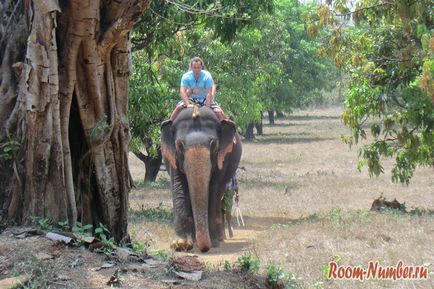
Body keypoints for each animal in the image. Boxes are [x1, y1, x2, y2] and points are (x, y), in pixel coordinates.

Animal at [160, 104, 241, 251]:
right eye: (179, 145)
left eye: (214, 145)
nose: (204, 248)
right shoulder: (172, 156)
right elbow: (178, 187)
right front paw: (180, 244)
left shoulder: (222, 158)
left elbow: (212, 190)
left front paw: (212, 243)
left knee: (219, 195)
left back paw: (218, 238)